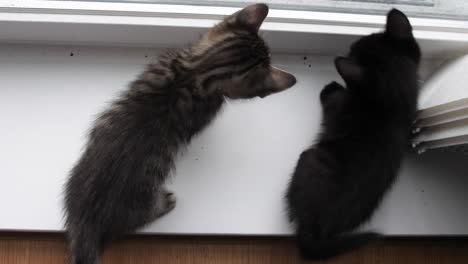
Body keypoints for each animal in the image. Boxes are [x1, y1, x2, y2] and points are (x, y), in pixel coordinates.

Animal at [286, 9, 420, 260]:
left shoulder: (340, 107)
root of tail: (318, 232)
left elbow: (332, 102)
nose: (347, 49)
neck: (394, 100)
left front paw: (330, 88)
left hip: (309, 158)